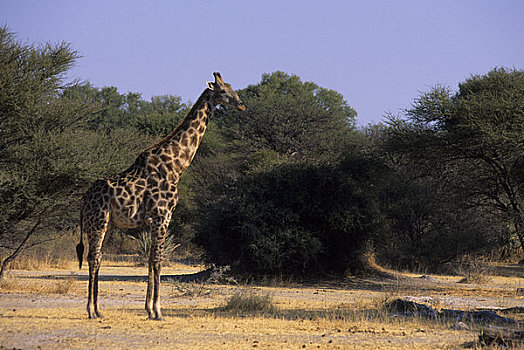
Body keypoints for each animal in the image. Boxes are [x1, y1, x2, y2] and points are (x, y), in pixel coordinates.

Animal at [76, 72, 246, 318]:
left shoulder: (155, 219)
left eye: (233, 87)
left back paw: (98, 310)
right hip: (98, 222)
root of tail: (83, 200)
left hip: (108, 225)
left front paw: (148, 308)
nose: (242, 104)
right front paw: (157, 310)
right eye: (222, 91)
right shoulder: (162, 216)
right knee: (93, 257)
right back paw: (90, 310)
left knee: (97, 259)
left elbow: (150, 260)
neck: (176, 166)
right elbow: (158, 261)